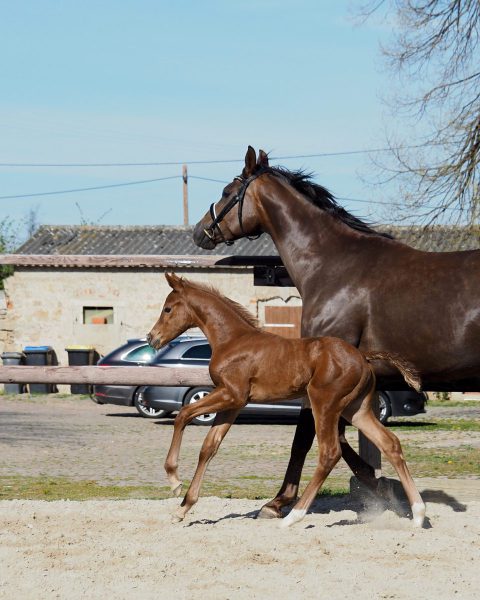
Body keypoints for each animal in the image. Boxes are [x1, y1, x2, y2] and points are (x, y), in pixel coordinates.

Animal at [146, 274, 424, 528]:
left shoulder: (231, 394)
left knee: (330, 452)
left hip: (324, 403)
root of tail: (363, 357)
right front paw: (183, 508)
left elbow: (183, 414)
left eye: (167, 308)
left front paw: (174, 480)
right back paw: (419, 514)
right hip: (357, 410)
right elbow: (209, 447)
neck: (232, 340)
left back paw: (293, 516)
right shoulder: (234, 403)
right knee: (390, 443)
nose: (152, 338)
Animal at [193, 146, 480, 520]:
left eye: (228, 191)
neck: (333, 266)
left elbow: (305, 437)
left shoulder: (322, 375)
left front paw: (277, 503)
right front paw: (379, 486)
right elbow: (341, 438)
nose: (200, 231)